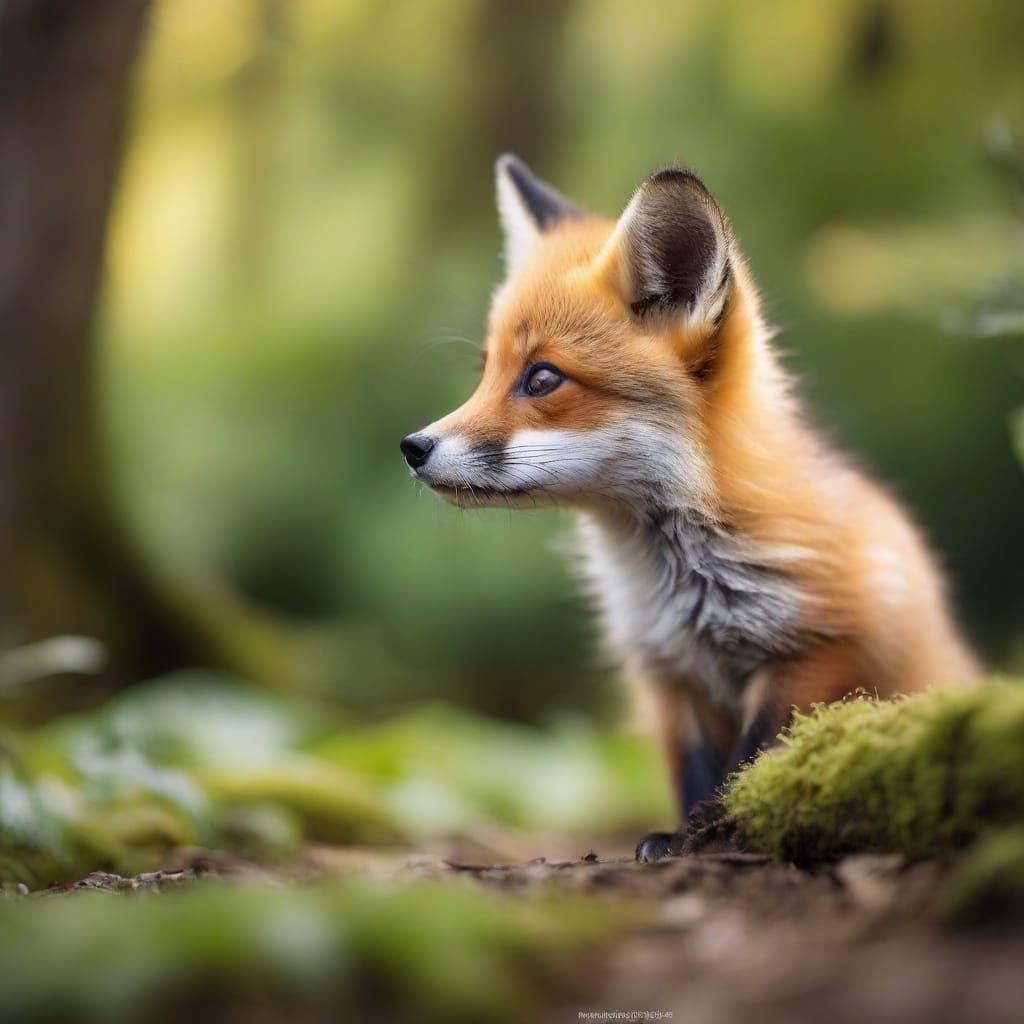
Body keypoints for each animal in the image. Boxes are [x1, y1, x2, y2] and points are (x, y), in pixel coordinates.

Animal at [401, 155, 980, 861]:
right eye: (485, 372)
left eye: (541, 378)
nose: (413, 447)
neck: (684, 585)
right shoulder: (668, 677)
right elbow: (697, 772)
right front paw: (681, 838)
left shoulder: (817, 654)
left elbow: (751, 763)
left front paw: (716, 837)